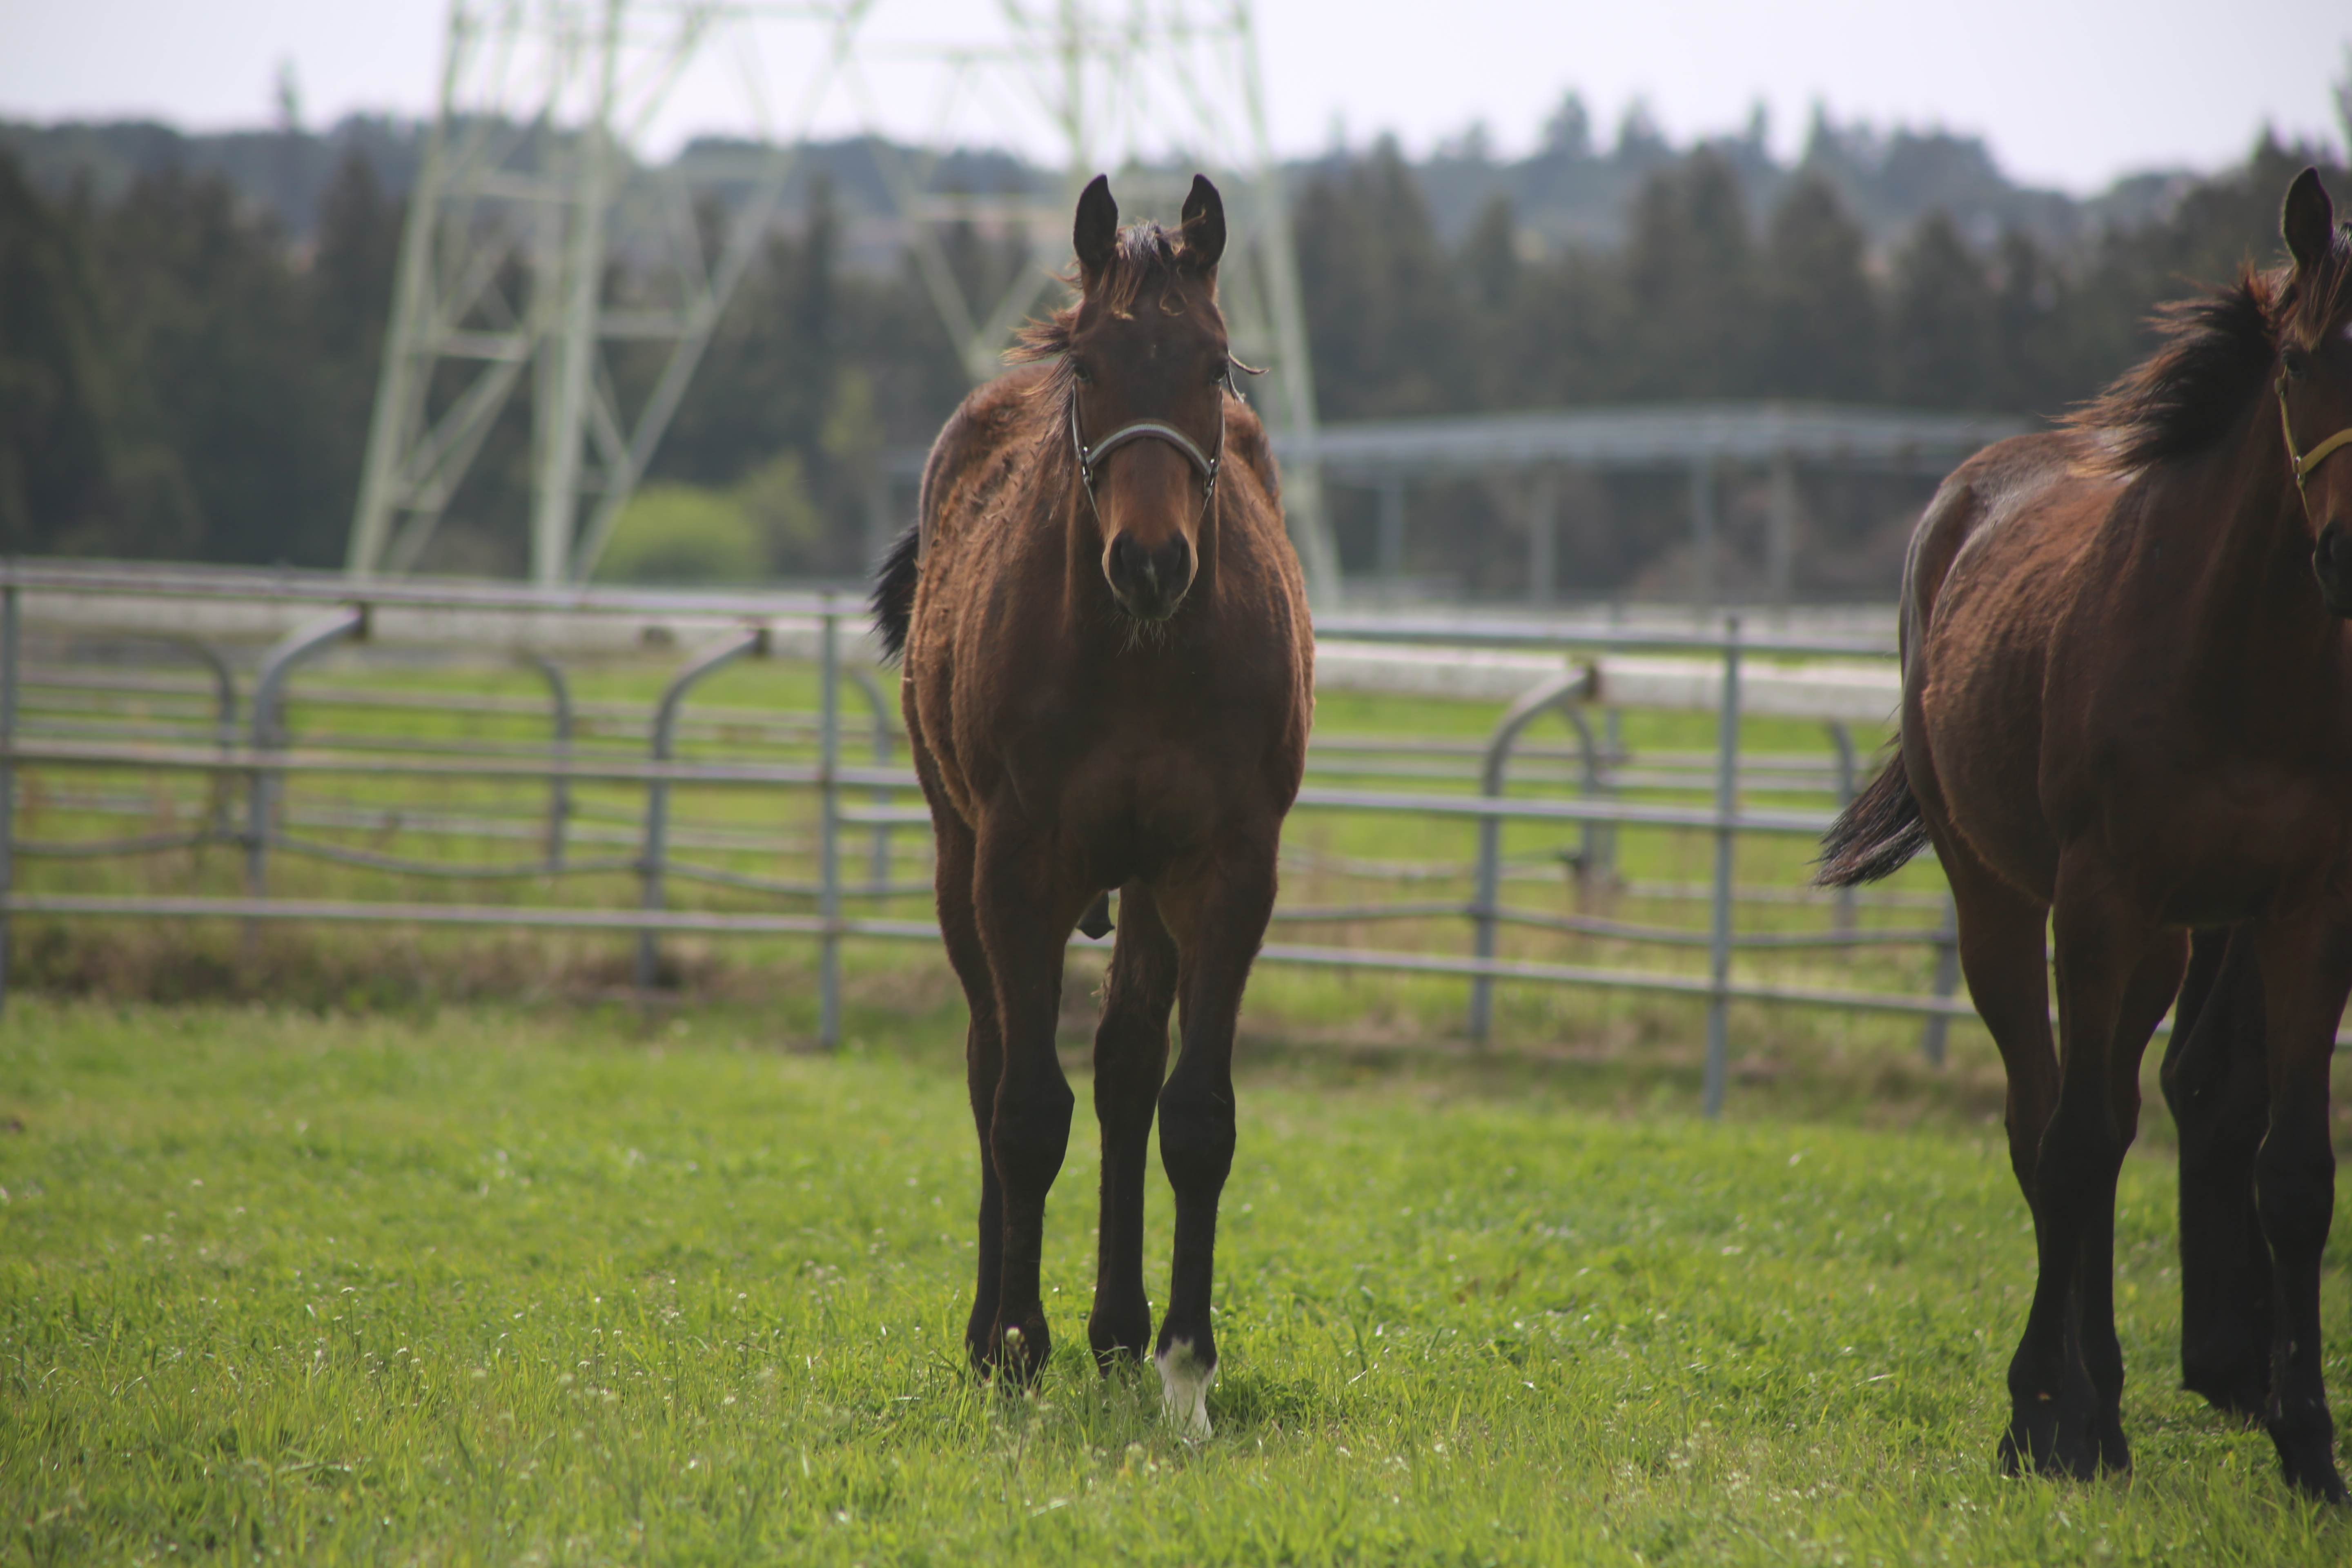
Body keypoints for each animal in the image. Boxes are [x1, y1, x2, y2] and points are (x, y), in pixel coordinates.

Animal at [875, 172, 1317, 1439]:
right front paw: (1015, 1346)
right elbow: (1025, 1107)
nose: (1151, 563)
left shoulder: (1224, 871)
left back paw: (1119, 1330)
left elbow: (1192, 1111)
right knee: (989, 1062)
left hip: (1147, 886)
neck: (1143, 657)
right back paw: (996, 1327)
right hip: (958, 858)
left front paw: (1186, 1367)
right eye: (1089, 368)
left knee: (1123, 1066)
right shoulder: (1016, 866)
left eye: (1214, 365)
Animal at [1825, 169, 2352, 1495]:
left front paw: (2308, 1446)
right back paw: (2076, 1404)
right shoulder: (2098, 895)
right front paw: (2036, 1416)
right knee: (2050, 1124)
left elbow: (2291, 1168)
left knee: (2118, 1107)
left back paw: (2105, 1391)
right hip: (2006, 903)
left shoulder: (2305, 908)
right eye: (2300, 360)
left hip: (2165, 937)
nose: (2345, 555)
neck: (2236, 656)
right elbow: (2070, 1147)